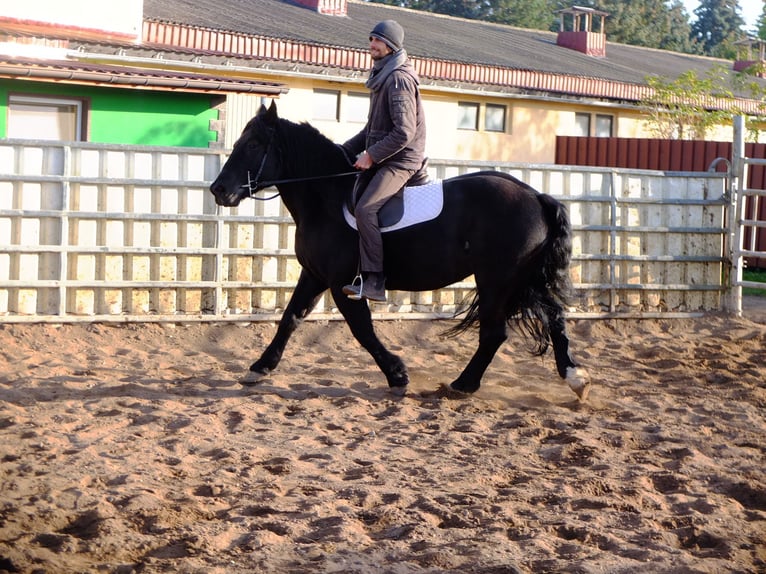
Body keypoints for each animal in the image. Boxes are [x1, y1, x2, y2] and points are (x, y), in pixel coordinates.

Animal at [207, 103, 592, 400]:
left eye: (254, 144)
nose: (218, 189)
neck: (327, 197)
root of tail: (536, 196)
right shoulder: (314, 275)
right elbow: (291, 318)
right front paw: (260, 368)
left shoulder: (344, 284)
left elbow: (362, 330)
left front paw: (397, 375)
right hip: (523, 279)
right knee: (554, 317)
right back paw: (575, 380)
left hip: (497, 280)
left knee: (495, 333)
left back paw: (462, 385)